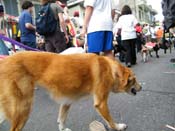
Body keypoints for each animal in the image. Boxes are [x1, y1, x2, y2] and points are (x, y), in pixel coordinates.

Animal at [0, 51, 142, 131]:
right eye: (134, 80)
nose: (141, 87)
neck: (111, 70)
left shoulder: (66, 101)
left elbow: (61, 119)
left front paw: (62, 129)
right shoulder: (101, 103)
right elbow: (110, 121)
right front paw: (118, 127)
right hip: (23, 108)